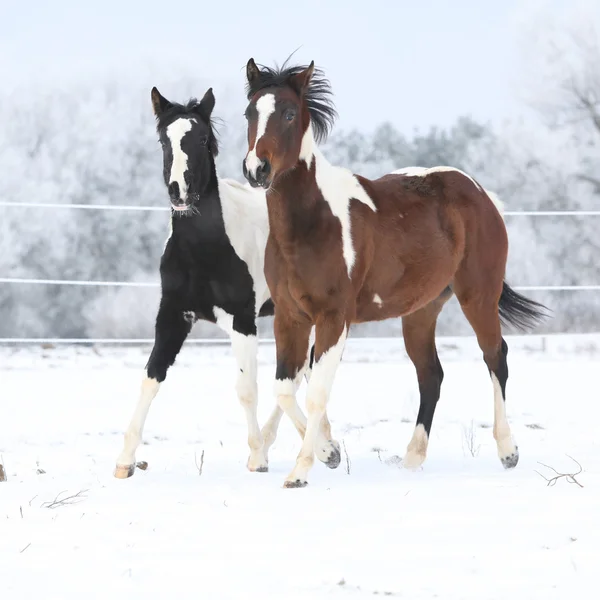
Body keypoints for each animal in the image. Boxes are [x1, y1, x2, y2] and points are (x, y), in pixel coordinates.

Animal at [112, 86, 338, 478]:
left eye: (202, 138)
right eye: (163, 140)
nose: (180, 192)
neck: (204, 249)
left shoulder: (242, 320)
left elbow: (247, 388)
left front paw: (259, 458)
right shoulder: (173, 316)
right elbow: (151, 377)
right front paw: (125, 460)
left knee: (299, 376)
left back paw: (317, 448)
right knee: (303, 374)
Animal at [241, 57, 548, 488]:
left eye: (287, 113)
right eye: (250, 113)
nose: (257, 169)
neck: (309, 224)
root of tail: (480, 193)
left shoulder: (333, 318)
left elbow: (315, 390)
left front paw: (302, 470)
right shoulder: (290, 317)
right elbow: (286, 388)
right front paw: (329, 452)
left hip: (478, 297)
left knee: (495, 357)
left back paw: (508, 451)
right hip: (420, 311)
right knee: (431, 374)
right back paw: (413, 457)